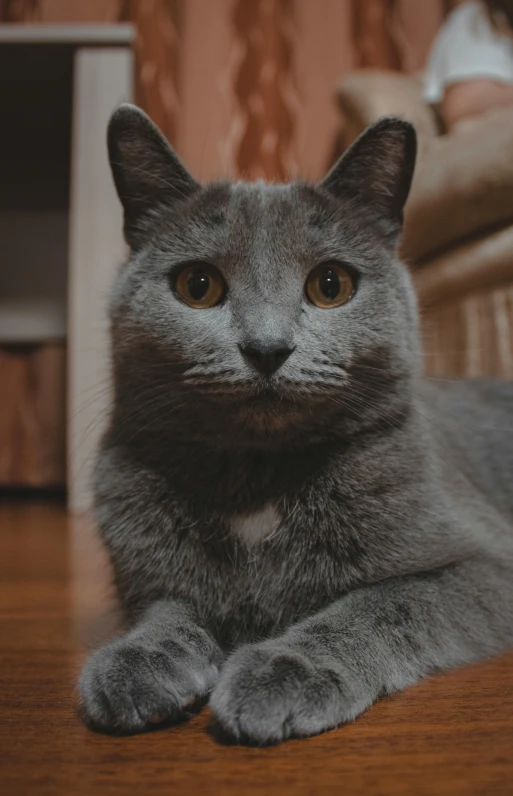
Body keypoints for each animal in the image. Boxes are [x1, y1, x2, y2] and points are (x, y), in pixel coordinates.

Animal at [78, 105, 512, 748]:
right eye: (197, 286)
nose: (267, 347)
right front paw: (137, 659)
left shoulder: (483, 566)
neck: (259, 482)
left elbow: (383, 603)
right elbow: (170, 604)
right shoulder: (143, 574)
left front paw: (286, 670)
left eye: (331, 285)